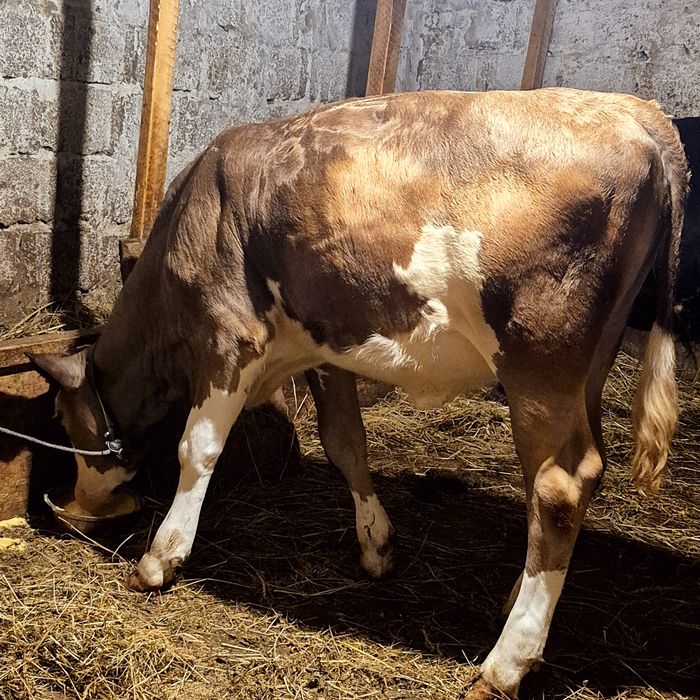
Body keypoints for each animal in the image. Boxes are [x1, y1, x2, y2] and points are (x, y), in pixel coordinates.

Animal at [29, 89, 687, 698]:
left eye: (64, 422)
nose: (78, 507)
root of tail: (636, 112)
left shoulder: (228, 336)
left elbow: (199, 448)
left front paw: (158, 559)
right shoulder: (324, 347)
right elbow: (345, 441)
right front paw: (376, 546)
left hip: (538, 361)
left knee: (559, 487)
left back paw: (506, 662)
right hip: (589, 368)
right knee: (569, 477)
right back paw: (514, 605)